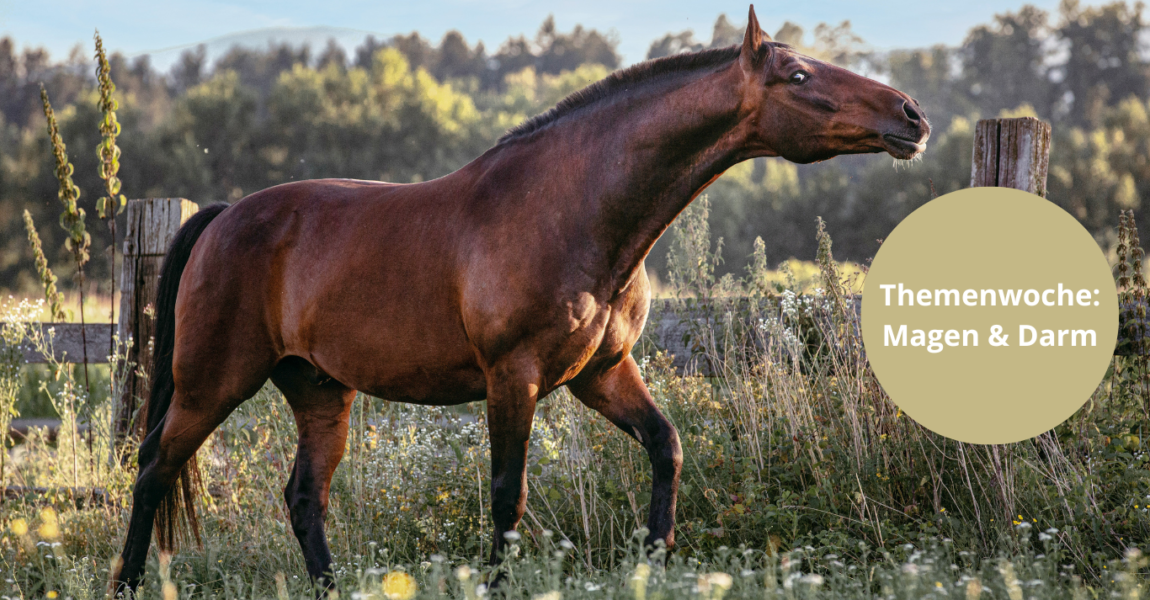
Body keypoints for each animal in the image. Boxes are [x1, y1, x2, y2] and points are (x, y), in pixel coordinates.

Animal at [112, 4, 929, 593]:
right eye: (797, 74)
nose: (911, 116)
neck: (572, 210)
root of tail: (225, 216)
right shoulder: (515, 377)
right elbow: (509, 496)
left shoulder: (603, 373)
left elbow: (666, 446)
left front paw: (657, 556)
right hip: (213, 382)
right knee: (152, 474)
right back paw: (125, 584)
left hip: (318, 389)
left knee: (303, 498)